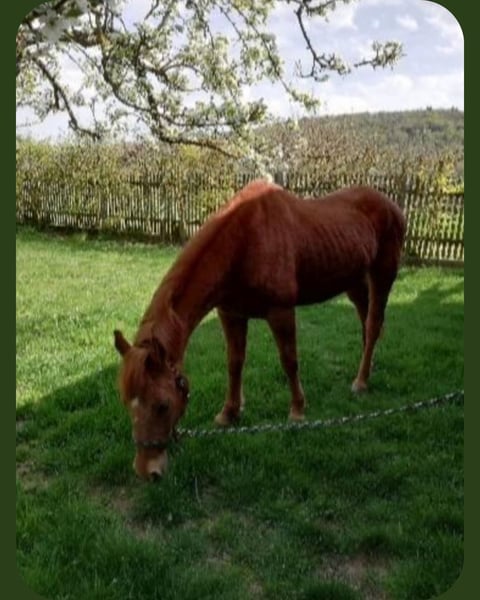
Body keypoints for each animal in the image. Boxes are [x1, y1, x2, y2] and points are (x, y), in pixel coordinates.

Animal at [114, 180, 406, 480]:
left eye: (162, 405)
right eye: (125, 401)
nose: (147, 470)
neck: (242, 243)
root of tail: (392, 206)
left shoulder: (280, 312)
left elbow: (289, 361)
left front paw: (297, 410)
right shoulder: (231, 315)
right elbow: (234, 363)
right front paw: (229, 413)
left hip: (382, 275)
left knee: (373, 326)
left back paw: (361, 382)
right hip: (354, 282)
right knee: (366, 324)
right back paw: (367, 371)